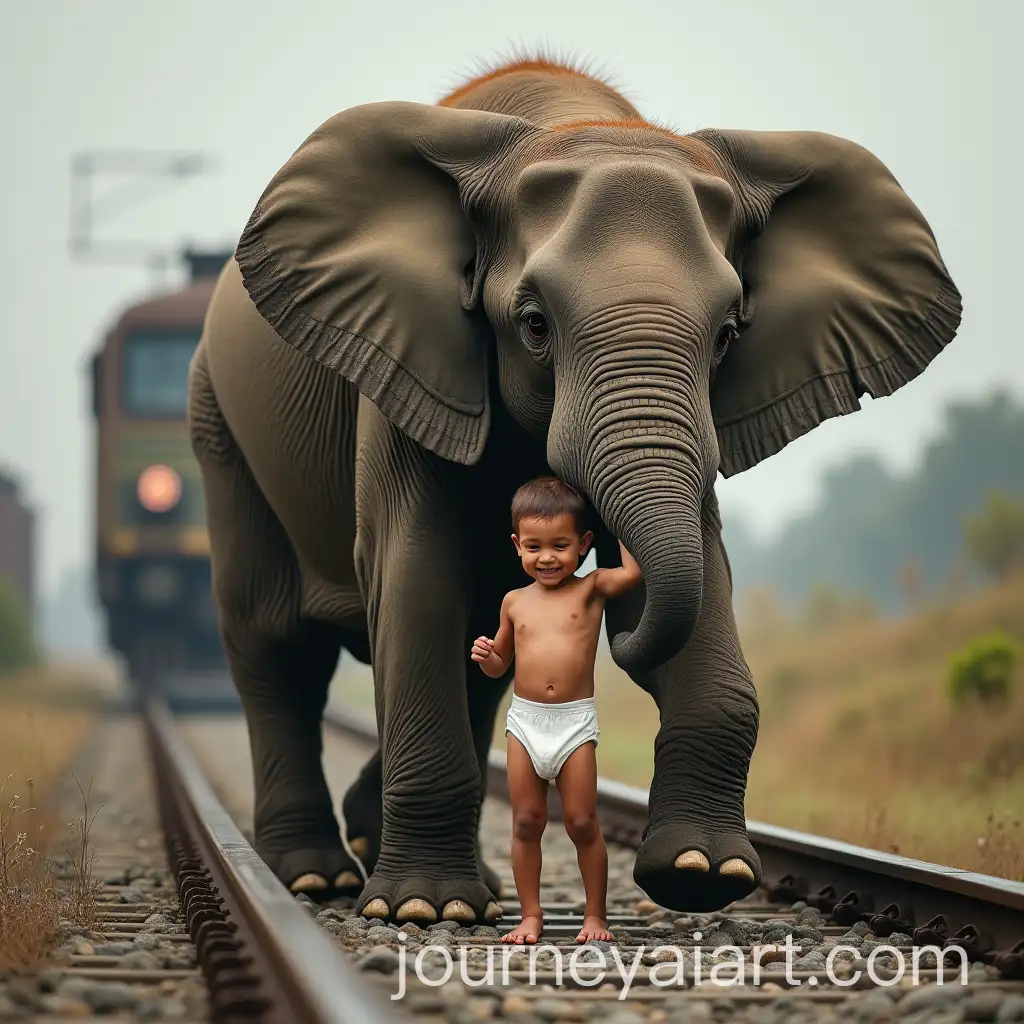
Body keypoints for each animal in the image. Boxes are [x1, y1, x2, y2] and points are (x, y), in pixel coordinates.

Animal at [188, 56, 961, 924]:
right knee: (275, 645)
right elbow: (417, 581)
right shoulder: (404, 367)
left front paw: (700, 872)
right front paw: (426, 909)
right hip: (219, 426)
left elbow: (696, 577)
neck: (574, 122)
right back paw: (317, 878)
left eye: (728, 335)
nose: (608, 603)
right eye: (533, 325)